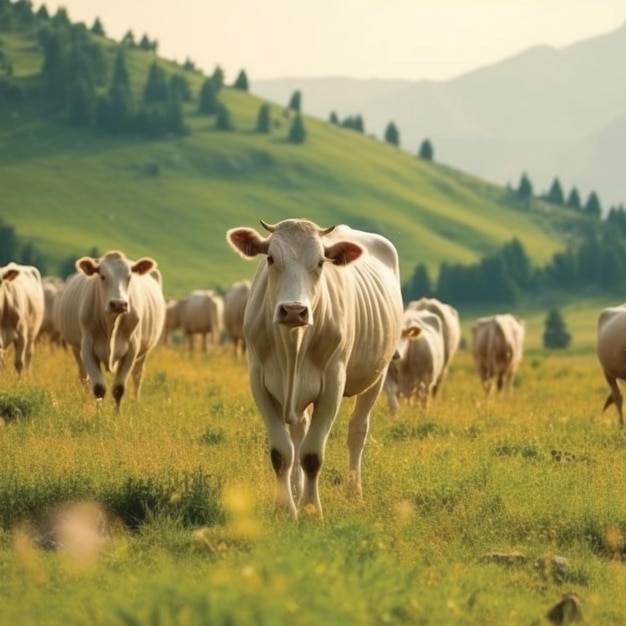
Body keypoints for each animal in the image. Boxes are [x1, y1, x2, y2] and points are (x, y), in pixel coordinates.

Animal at [55, 249, 166, 410]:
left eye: (129, 277)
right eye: (102, 276)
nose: (119, 304)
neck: (111, 324)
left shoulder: (132, 348)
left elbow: (118, 388)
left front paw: (116, 414)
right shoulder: (87, 347)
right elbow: (98, 388)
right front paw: (98, 413)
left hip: (144, 352)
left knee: (137, 375)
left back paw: (135, 402)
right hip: (75, 349)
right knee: (84, 377)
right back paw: (86, 402)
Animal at [227, 217, 402, 516]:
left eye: (320, 262)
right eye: (271, 258)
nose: (294, 310)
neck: (292, 346)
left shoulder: (333, 382)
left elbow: (311, 454)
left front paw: (311, 510)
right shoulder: (258, 380)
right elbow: (282, 452)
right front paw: (286, 509)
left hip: (377, 375)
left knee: (357, 430)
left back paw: (354, 491)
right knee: (300, 431)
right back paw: (297, 490)